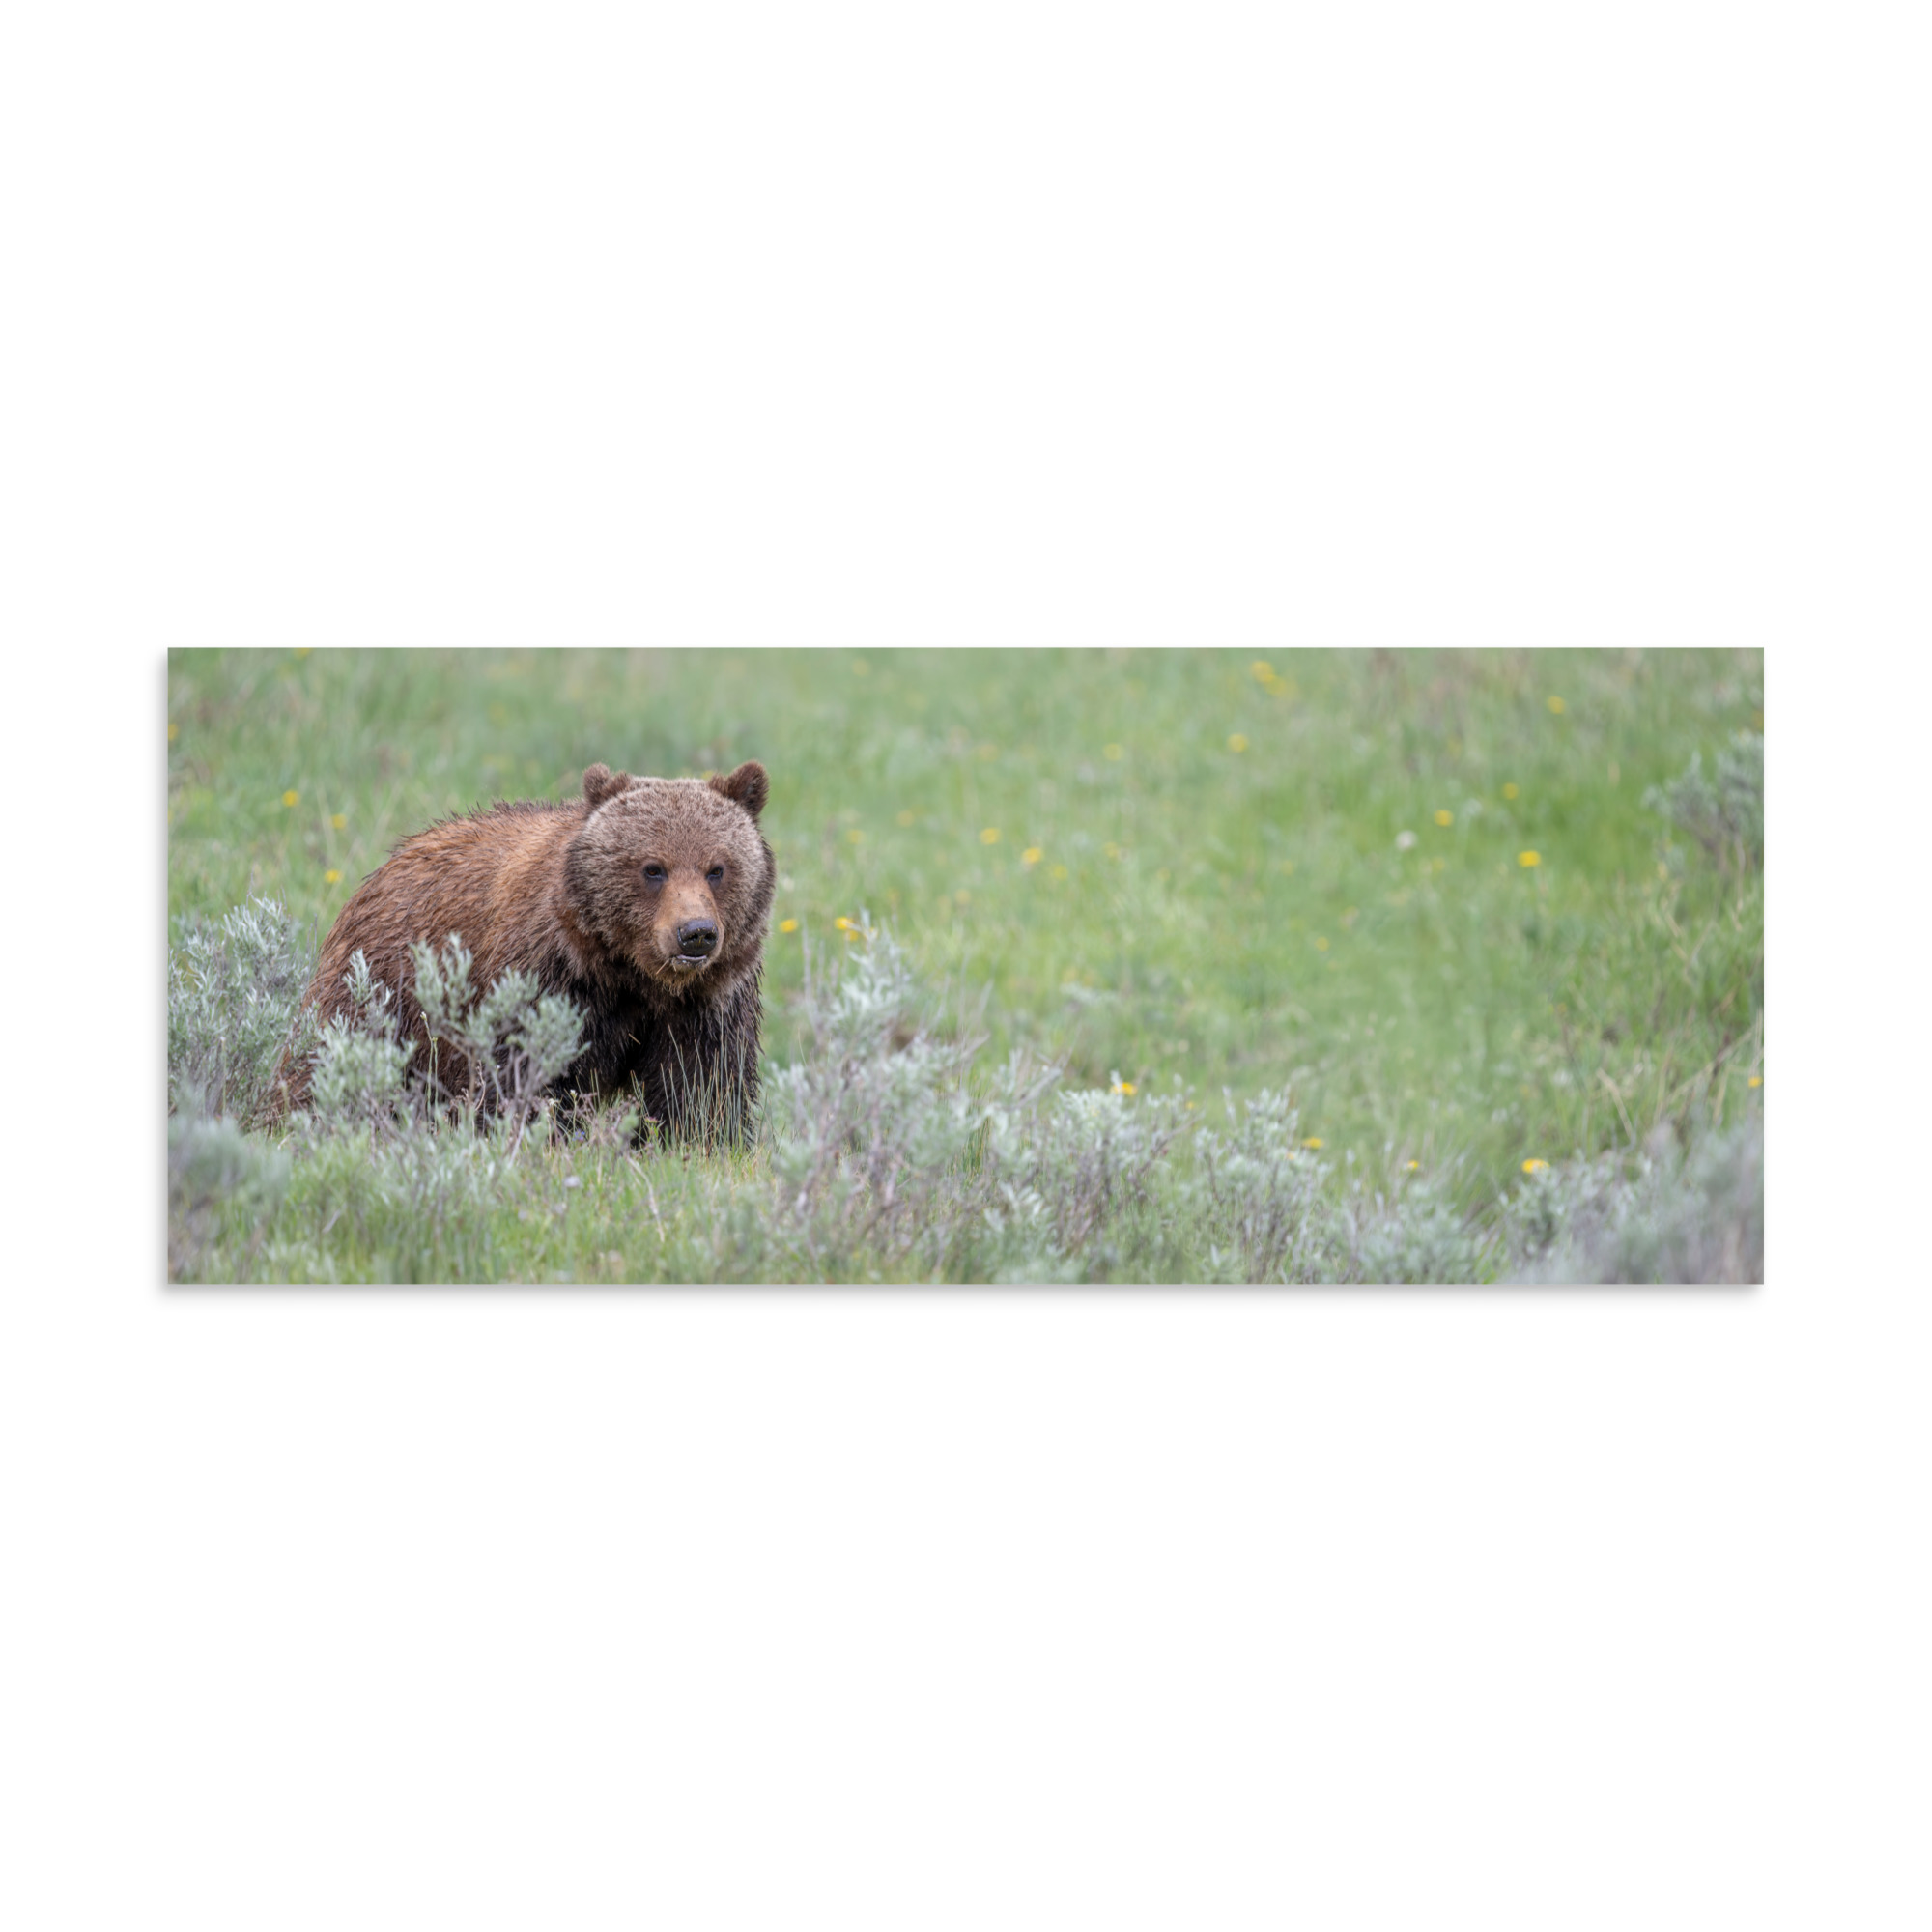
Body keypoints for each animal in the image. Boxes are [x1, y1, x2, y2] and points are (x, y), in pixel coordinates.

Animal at [280, 760, 774, 1140]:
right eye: (653, 868)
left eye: (717, 868)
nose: (695, 933)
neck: (631, 973)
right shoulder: (547, 979)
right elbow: (523, 1073)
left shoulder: (707, 1001)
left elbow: (700, 1087)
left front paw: (693, 1141)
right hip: (381, 988)